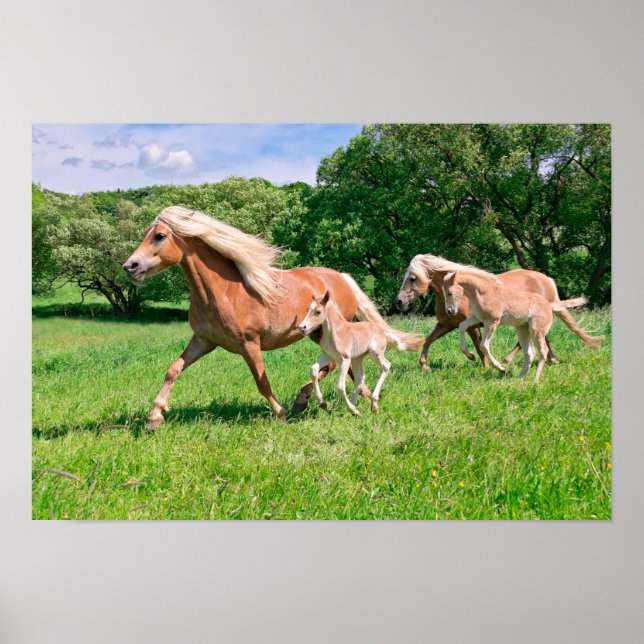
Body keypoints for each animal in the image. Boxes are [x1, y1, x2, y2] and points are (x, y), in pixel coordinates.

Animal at [122, 206, 421, 429]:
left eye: (160, 236)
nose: (130, 267)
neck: (223, 292)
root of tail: (342, 278)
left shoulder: (249, 344)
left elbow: (262, 382)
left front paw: (281, 413)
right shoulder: (203, 341)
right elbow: (173, 369)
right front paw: (154, 417)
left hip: (324, 332)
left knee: (335, 365)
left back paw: (306, 400)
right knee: (342, 368)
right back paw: (361, 397)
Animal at [395, 254, 566, 370]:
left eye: (412, 278)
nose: (399, 302)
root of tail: (547, 279)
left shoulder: (473, 326)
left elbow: (479, 347)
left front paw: (483, 365)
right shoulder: (445, 325)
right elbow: (428, 340)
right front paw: (425, 365)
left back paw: (508, 360)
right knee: (542, 339)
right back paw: (552, 360)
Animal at [442, 269, 604, 382]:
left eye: (449, 292)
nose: (449, 311)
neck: (484, 293)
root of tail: (549, 304)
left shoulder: (492, 322)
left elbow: (484, 345)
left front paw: (501, 368)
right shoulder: (475, 317)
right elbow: (462, 327)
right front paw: (470, 355)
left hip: (536, 330)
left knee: (542, 351)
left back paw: (534, 380)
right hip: (522, 329)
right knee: (530, 352)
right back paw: (520, 379)